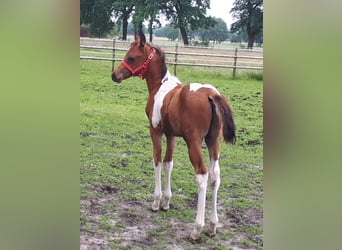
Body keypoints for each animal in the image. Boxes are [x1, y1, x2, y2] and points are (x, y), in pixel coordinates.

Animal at [112, 33, 235, 240]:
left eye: (131, 57)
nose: (115, 75)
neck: (159, 86)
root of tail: (211, 95)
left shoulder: (155, 131)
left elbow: (157, 161)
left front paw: (156, 202)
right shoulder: (171, 135)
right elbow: (168, 163)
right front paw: (166, 202)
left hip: (194, 143)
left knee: (202, 175)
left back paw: (197, 228)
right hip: (213, 142)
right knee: (215, 176)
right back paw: (212, 225)